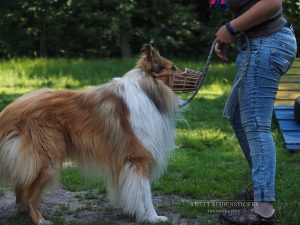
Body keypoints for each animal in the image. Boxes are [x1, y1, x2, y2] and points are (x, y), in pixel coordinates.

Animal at [0, 44, 183, 225]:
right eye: (173, 68)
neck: (148, 92)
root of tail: (7, 112)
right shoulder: (139, 158)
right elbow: (146, 194)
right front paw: (153, 217)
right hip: (46, 160)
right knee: (29, 193)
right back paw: (40, 219)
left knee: (21, 186)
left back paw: (24, 213)